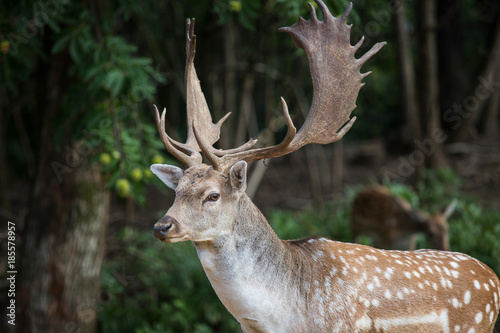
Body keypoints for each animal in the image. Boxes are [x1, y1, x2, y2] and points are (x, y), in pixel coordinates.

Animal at [150, 1, 500, 330]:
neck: (281, 321)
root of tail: (493, 278)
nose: (162, 226)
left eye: (212, 195)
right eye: (177, 191)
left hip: (474, 323)